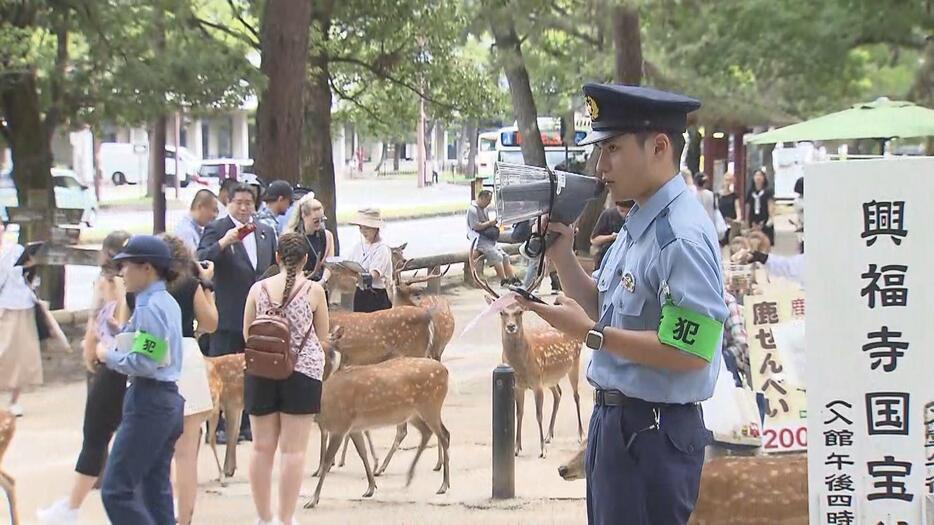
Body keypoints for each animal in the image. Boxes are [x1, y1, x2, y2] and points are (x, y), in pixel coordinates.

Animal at [205, 352, 247, 484]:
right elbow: (234, 433)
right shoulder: (235, 405)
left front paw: (227, 470)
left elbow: (231, 435)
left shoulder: (232, 403)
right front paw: (230, 470)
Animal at [306, 356, 452, 508]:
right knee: (428, 432)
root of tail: (445, 370)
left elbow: (327, 460)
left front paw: (313, 500)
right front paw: (371, 487)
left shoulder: (341, 425)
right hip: (412, 413)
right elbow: (362, 453)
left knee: (444, 435)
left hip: (430, 405)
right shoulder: (353, 428)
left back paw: (443, 485)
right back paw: (410, 477)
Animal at [468, 248, 584, 456]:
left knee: (575, 395)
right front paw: (516, 448)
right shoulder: (519, 386)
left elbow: (538, 414)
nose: (511, 327)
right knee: (558, 393)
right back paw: (549, 436)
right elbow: (519, 414)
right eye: (501, 312)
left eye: (520, 311)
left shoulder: (537, 382)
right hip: (550, 378)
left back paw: (579, 435)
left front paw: (541, 450)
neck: (521, 366)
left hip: (574, 363)